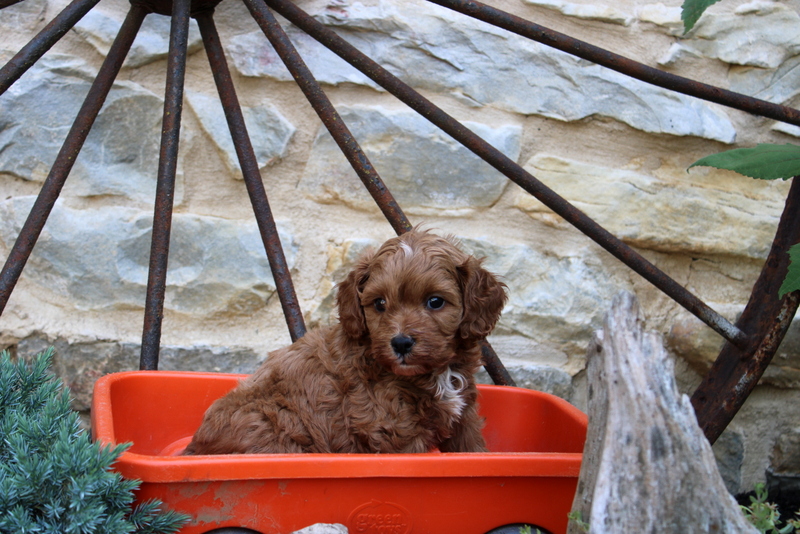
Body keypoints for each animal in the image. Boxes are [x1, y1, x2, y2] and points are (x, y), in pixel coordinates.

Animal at [184, 230, 504, 456]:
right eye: (379, 303)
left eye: (435, 302)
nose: (400, 343)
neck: (433, 374)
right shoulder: (393, 428)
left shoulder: (464, 415)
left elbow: (474, 450)